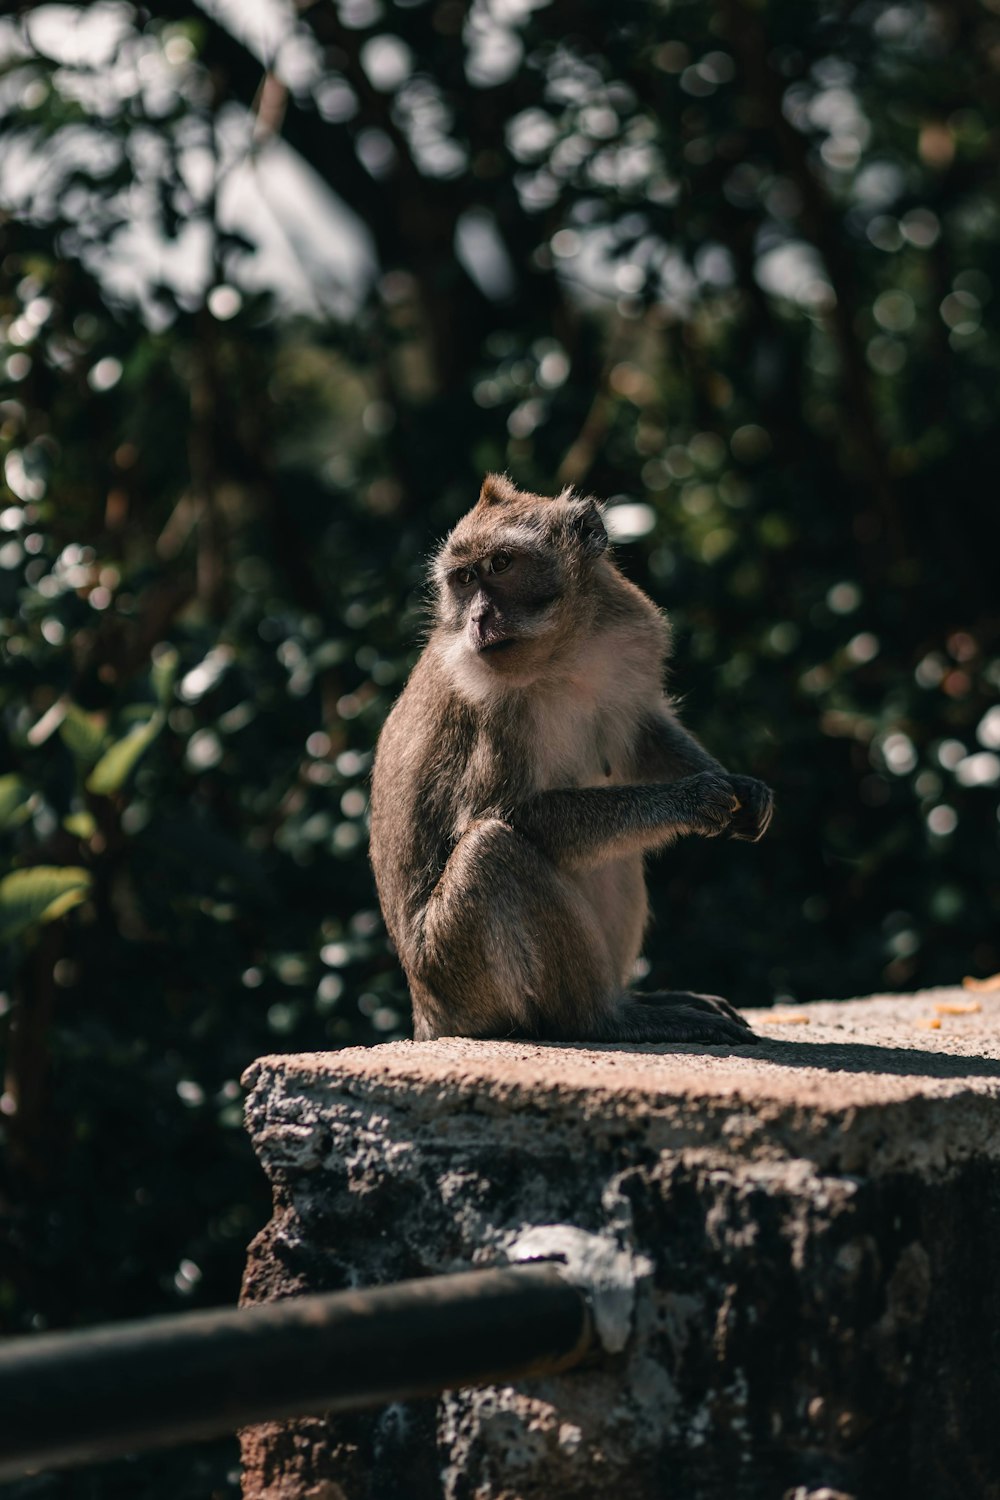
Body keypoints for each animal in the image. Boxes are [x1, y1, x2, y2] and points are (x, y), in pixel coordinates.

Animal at [367, 474, 773, 1050]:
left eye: (500, 565)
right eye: (464, 579)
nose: (478, 618)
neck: (562, 653)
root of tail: (428, 1014)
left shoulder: (632, 636)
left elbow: (641, 736)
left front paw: (737, 784)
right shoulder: (490, 710)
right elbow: (498, 815)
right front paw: (689, 799)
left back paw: (638, 1000)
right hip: (454, 971)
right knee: (493, 852)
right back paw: (610, 1020)